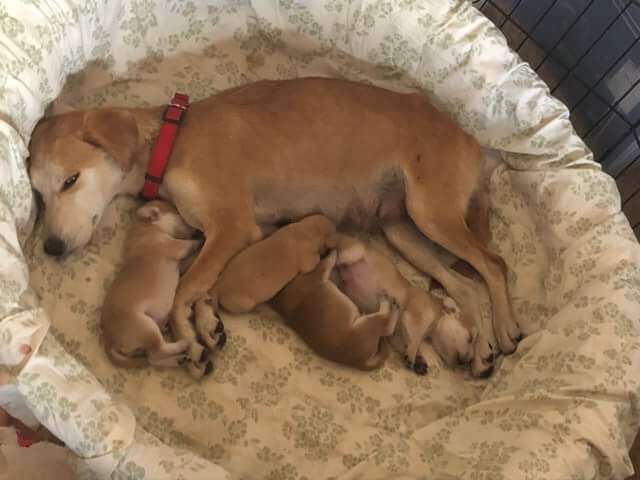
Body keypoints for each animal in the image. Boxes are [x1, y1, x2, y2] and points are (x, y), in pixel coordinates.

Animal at [102, 201, 222, 370]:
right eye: (180, 217)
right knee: (159, 350)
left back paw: (178, 359)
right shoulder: (175, 247)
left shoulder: (179, 263)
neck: (146, 227)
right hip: (147, 328)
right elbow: (189, 245)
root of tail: (108, 338)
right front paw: (200, 240)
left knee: (153, 358)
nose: (197, 229)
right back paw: (183, 344)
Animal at [268, 251, 398, 372]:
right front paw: (332, 254)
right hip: (366, 324)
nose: (324, 251)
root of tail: (359, 362)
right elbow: (326, 263)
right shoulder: (318, 274)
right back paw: (388, 303)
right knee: (386, 326)